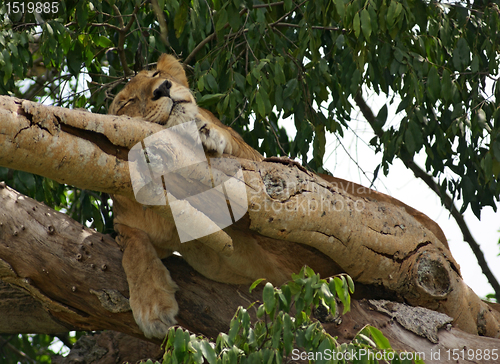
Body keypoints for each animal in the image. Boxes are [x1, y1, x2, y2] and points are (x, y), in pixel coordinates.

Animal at [109, 53, 450, 338]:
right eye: (125, 104)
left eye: (157, 73)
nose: (163, 88)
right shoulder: (133, 217)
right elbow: (132, 244)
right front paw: (152, 306)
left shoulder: (263, 167)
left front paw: (205, 132)